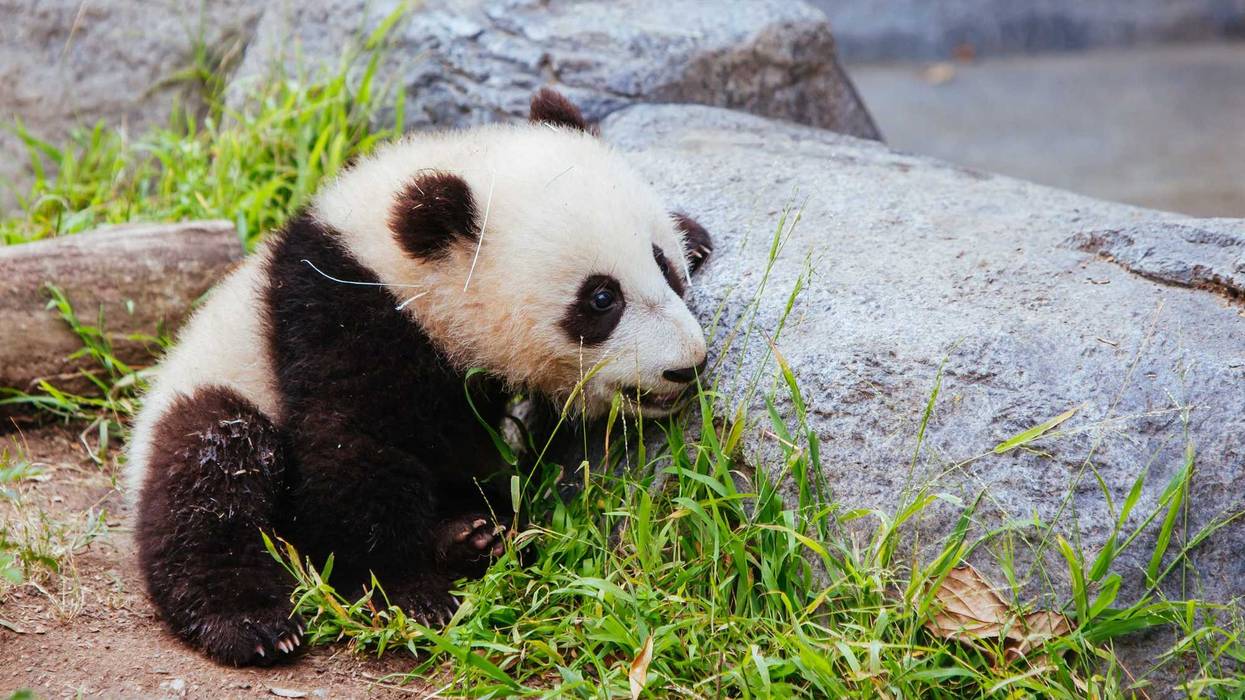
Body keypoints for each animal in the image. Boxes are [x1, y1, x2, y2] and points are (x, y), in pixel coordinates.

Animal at [125, 88, 714, 666]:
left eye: (663, 265)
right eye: (601, 299)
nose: (687, 365)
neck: (391, 264)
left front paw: (696, 234)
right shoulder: (335, 320)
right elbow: (353, 452)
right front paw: (413, 594)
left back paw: (471, 535)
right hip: (214, 388)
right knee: (213, 472)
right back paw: (254, 623)